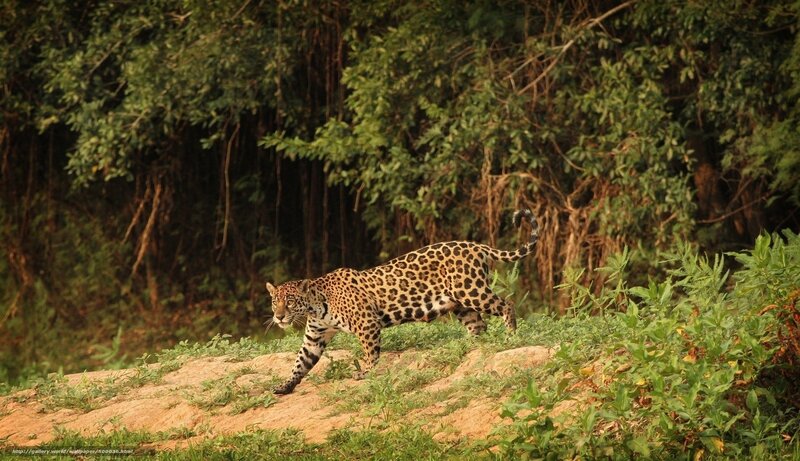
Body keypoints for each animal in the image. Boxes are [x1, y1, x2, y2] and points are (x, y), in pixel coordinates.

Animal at [265, 209, 538, 395]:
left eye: (290, 301)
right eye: (274, 302)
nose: (279, 316)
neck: (317, 305)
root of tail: (475, 245)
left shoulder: (367, 324)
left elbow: (370, 351)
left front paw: (364, 371)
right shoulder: (315, 337)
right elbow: (300, 363)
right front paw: (284, 386)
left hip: (471, 290)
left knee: (506, 305)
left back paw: (510, 336)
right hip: (461, 304)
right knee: (479, 326)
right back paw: (466, 346)